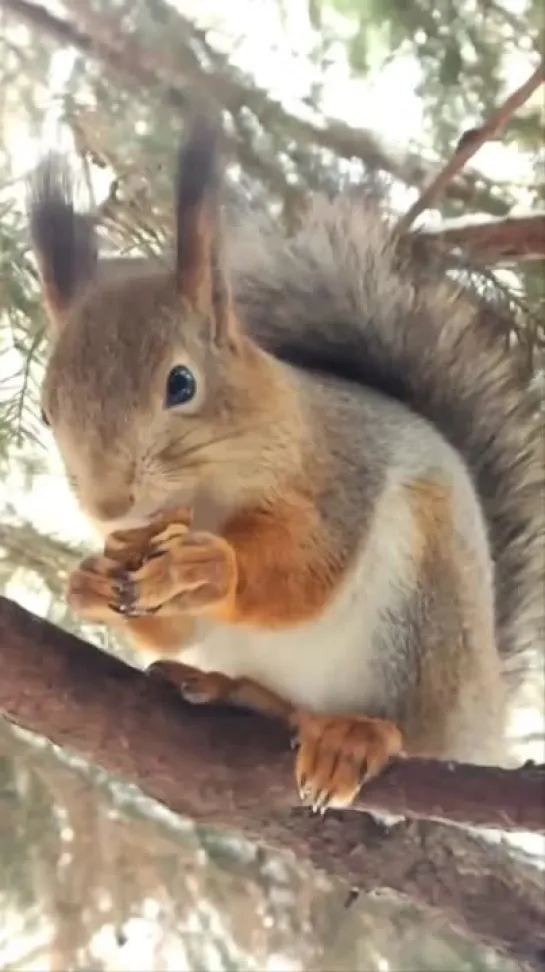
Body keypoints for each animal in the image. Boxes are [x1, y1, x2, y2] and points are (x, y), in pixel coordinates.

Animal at [28, 116, 540, 812]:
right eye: (48, 412)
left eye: (182, 384)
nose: (109, 506)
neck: (207, 497)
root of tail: (482, 723)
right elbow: (172, 626)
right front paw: (89, 584)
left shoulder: (336, 475)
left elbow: (306, 575)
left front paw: (208, 567)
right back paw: (238, 692)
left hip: (420, 619)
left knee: (410, 731)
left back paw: (357, 735)